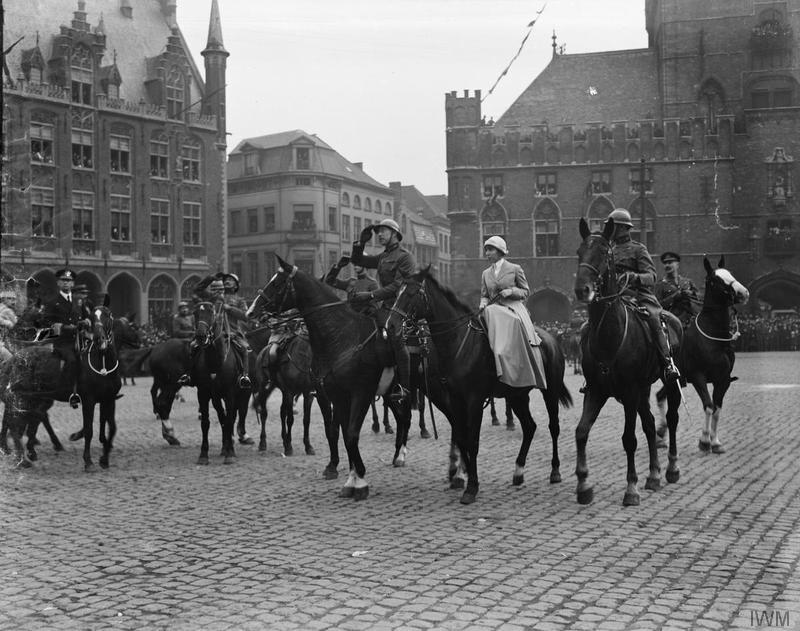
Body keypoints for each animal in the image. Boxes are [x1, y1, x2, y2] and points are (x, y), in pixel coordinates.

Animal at [0, 298, 123, 472]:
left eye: (109, 315)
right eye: (92, 318)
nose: (100, 340)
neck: (103, 366)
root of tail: (14, 358)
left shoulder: (109, 399)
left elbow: (111, 428)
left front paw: (104, 459)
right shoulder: (89, 401)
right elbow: (89, 430)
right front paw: (88, 461)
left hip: (31, 398)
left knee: (21, 422)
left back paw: (23, 454)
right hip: (22, 398)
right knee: (14, 424)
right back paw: (21, 458)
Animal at [247, 256, 412, 498]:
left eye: (277, 283)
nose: (250, 311)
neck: (339, 338)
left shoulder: (359, 394)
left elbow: (350, 433)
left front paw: (359, 480)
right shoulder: (331, 394)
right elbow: (336, 431)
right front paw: (344, 473)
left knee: (407, 416)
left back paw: (402, 455)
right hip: (389, 393)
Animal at [384, 270, 572, 506]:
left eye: (411, 293)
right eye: (397, 292)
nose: (390, 325)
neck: (458, 343)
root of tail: (550, 338)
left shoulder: (472, 399)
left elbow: (472, 440)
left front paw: (470, 486)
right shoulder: (454, 399)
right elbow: (462, 437)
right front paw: (462, 475)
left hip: (550, 391)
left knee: (553, 426)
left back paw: (555, 471)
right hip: (517, 395)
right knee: (529, 427)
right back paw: (518, 471)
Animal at [576, 220, 680, 506]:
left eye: (604, 253)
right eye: (579, 252)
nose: (582, 289)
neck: (609, 334)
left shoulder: (629, 391)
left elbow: (629, 439)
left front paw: (631, 489)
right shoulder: (596, 390)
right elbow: (582, 431)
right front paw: (583, 485)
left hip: (668, 382)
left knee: (671, 418)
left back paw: (671, 468)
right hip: (643, 389)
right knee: (650, 424)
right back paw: (653, 475)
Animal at [656, 256, 752, 454]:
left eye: (730, 273)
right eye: (715, 279)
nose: (743, 292)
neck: (713, 339)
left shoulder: (722, 380)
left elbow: (717, 408)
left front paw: (715, 442)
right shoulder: (698, 377)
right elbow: (708, 406)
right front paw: (705, 441)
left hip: (673, 381)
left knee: (660, 397)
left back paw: (661, 433)